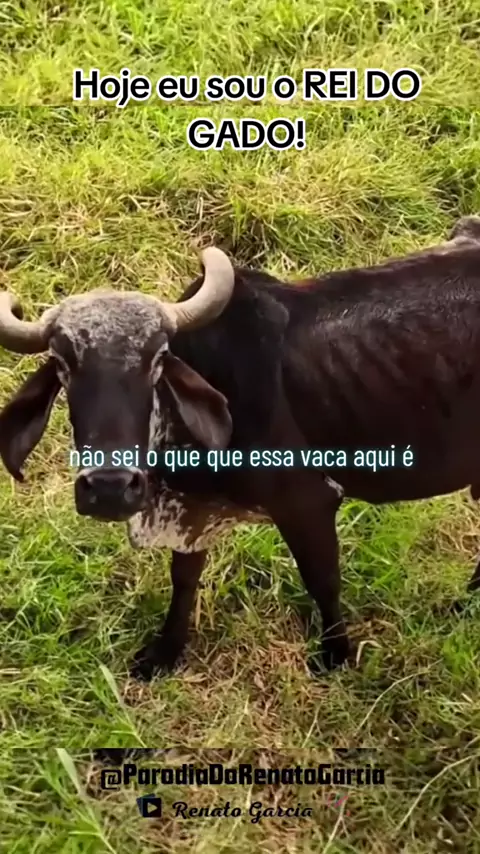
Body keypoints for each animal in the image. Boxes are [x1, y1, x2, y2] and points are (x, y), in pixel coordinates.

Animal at [0, 217, 480, 681]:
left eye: (157, 358)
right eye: (62, 363)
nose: (110, 487)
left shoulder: (308, 504)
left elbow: (323, 580)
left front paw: (335, 654)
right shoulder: (193, 510)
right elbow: (184, 577)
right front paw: (165, 653)